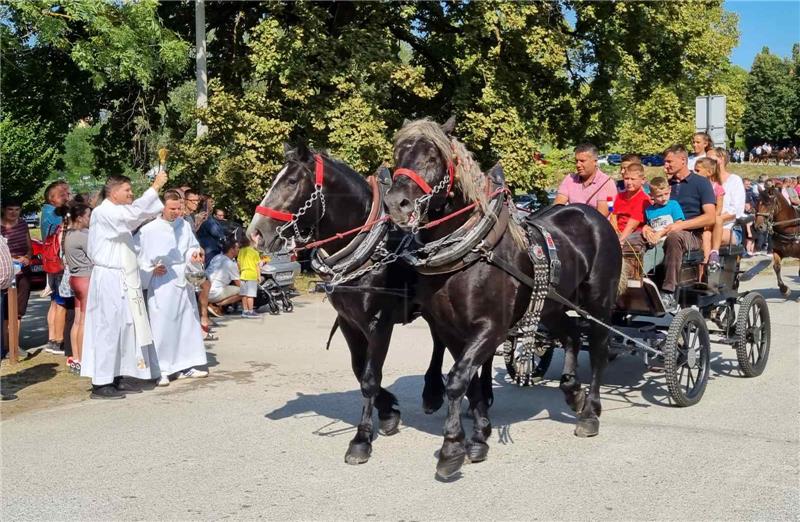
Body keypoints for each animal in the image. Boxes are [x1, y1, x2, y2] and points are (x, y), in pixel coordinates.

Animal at [247, 143, 454, 464]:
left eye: (291, 181)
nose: (255, 232)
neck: (371, 249)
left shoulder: (379, 323)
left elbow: (370, 376)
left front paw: (362, 439)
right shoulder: (348, 321)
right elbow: (359, 370)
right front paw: (389, 410)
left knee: (440, 340)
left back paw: (433, 392)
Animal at [384, 118, 620, 476]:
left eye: (433, 156)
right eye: (398, 154)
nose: (396, 203)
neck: (471, 252)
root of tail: (592, 216)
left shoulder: (490, 328)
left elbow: (457, 380)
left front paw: (452, 448)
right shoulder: (451, 329)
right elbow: (468, 380)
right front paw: (478, 437)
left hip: (599, 304)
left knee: (598, 350)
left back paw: (590, 411)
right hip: (552, 306)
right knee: (570, 336)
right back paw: (572, 392)